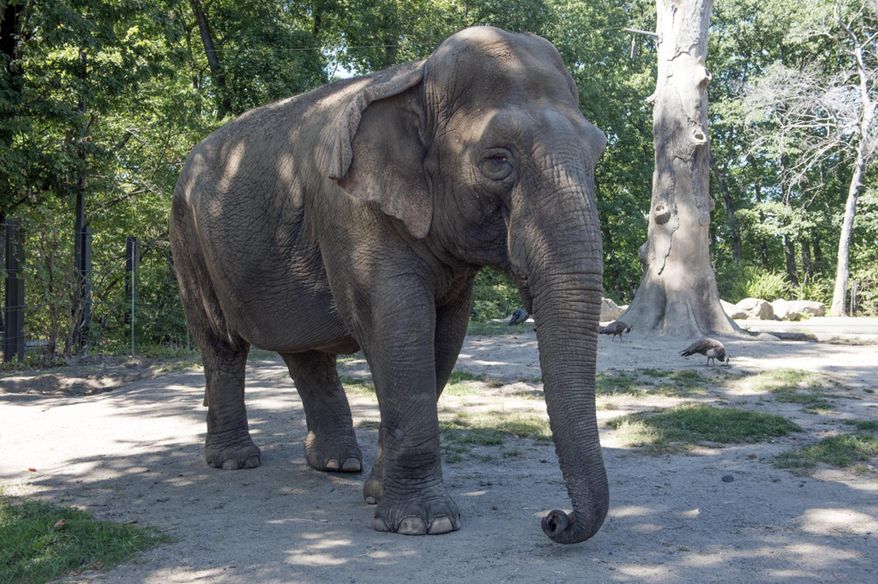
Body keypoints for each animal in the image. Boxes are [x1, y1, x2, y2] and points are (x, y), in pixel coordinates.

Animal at [170, 26, 608, 544]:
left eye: (598, 155)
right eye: (498, 161)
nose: (553, 519)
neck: (417, 77)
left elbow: (443, 337)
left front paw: (379, 495)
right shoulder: (351, 209)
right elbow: (397, 326)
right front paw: (425, 524)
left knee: (303, 352)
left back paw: (337, 464)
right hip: (187, 236)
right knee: (221, 344)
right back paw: (235, 461)